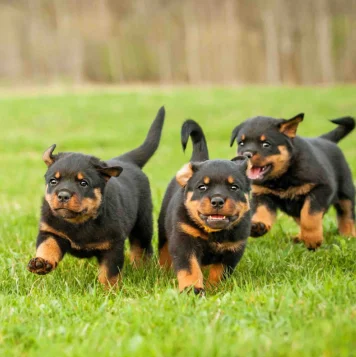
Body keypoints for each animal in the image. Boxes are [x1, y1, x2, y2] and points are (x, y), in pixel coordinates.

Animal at [159, 121, 250, 294]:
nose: (217, 201)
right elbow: (190, 269)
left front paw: (213, 288)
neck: (215, 234)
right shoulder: (184, 241)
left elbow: (220, 272)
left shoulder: (233, 249)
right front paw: (192, 289)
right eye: (202, 187)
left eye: (234, 187)